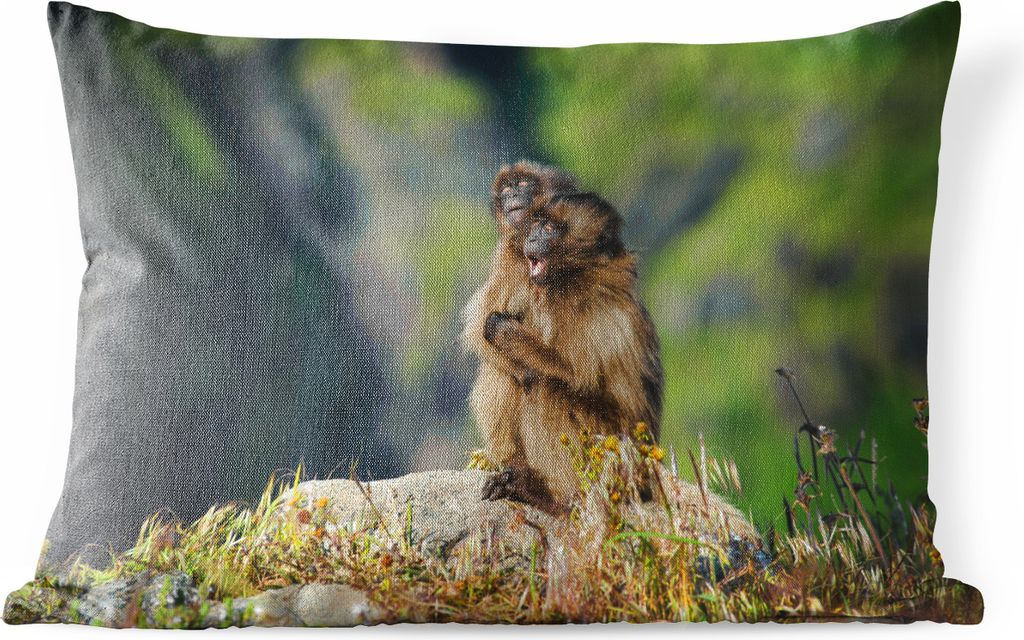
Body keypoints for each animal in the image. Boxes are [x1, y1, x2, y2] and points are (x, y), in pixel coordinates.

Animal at [461, 161, 578, 495]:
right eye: (506, 189)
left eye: (524, 184)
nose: (512, 193)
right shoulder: (506, 258)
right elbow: (480, 331)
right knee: (502, 370)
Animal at [479, 192, 664, 513]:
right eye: (537, 225)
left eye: (550, 229)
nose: (532, 237)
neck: (578, 277)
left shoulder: (597, 311)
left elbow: (576, 375)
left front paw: (502, 330)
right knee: (510, 370)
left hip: (611, 447)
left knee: (543, 386)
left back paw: (557, 498)